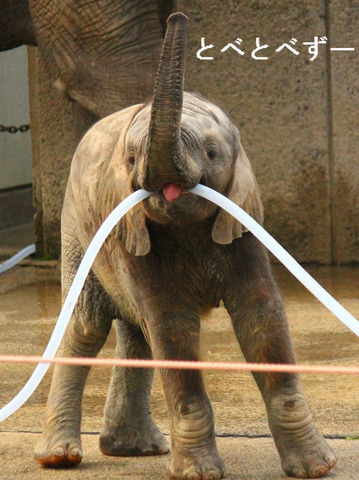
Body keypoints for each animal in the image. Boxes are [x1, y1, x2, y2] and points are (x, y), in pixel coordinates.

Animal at [33, 11, 338, 480]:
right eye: (132, 158)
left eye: (212, 153)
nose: (178, 17)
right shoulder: (133, 232)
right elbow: (172, 327)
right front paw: (199, 473)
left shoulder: (243, 223)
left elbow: (262, 318)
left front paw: (316, 468)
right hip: (75, 233)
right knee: (86, 326)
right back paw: (59, 457)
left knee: (136, 334)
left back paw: (135, 449)